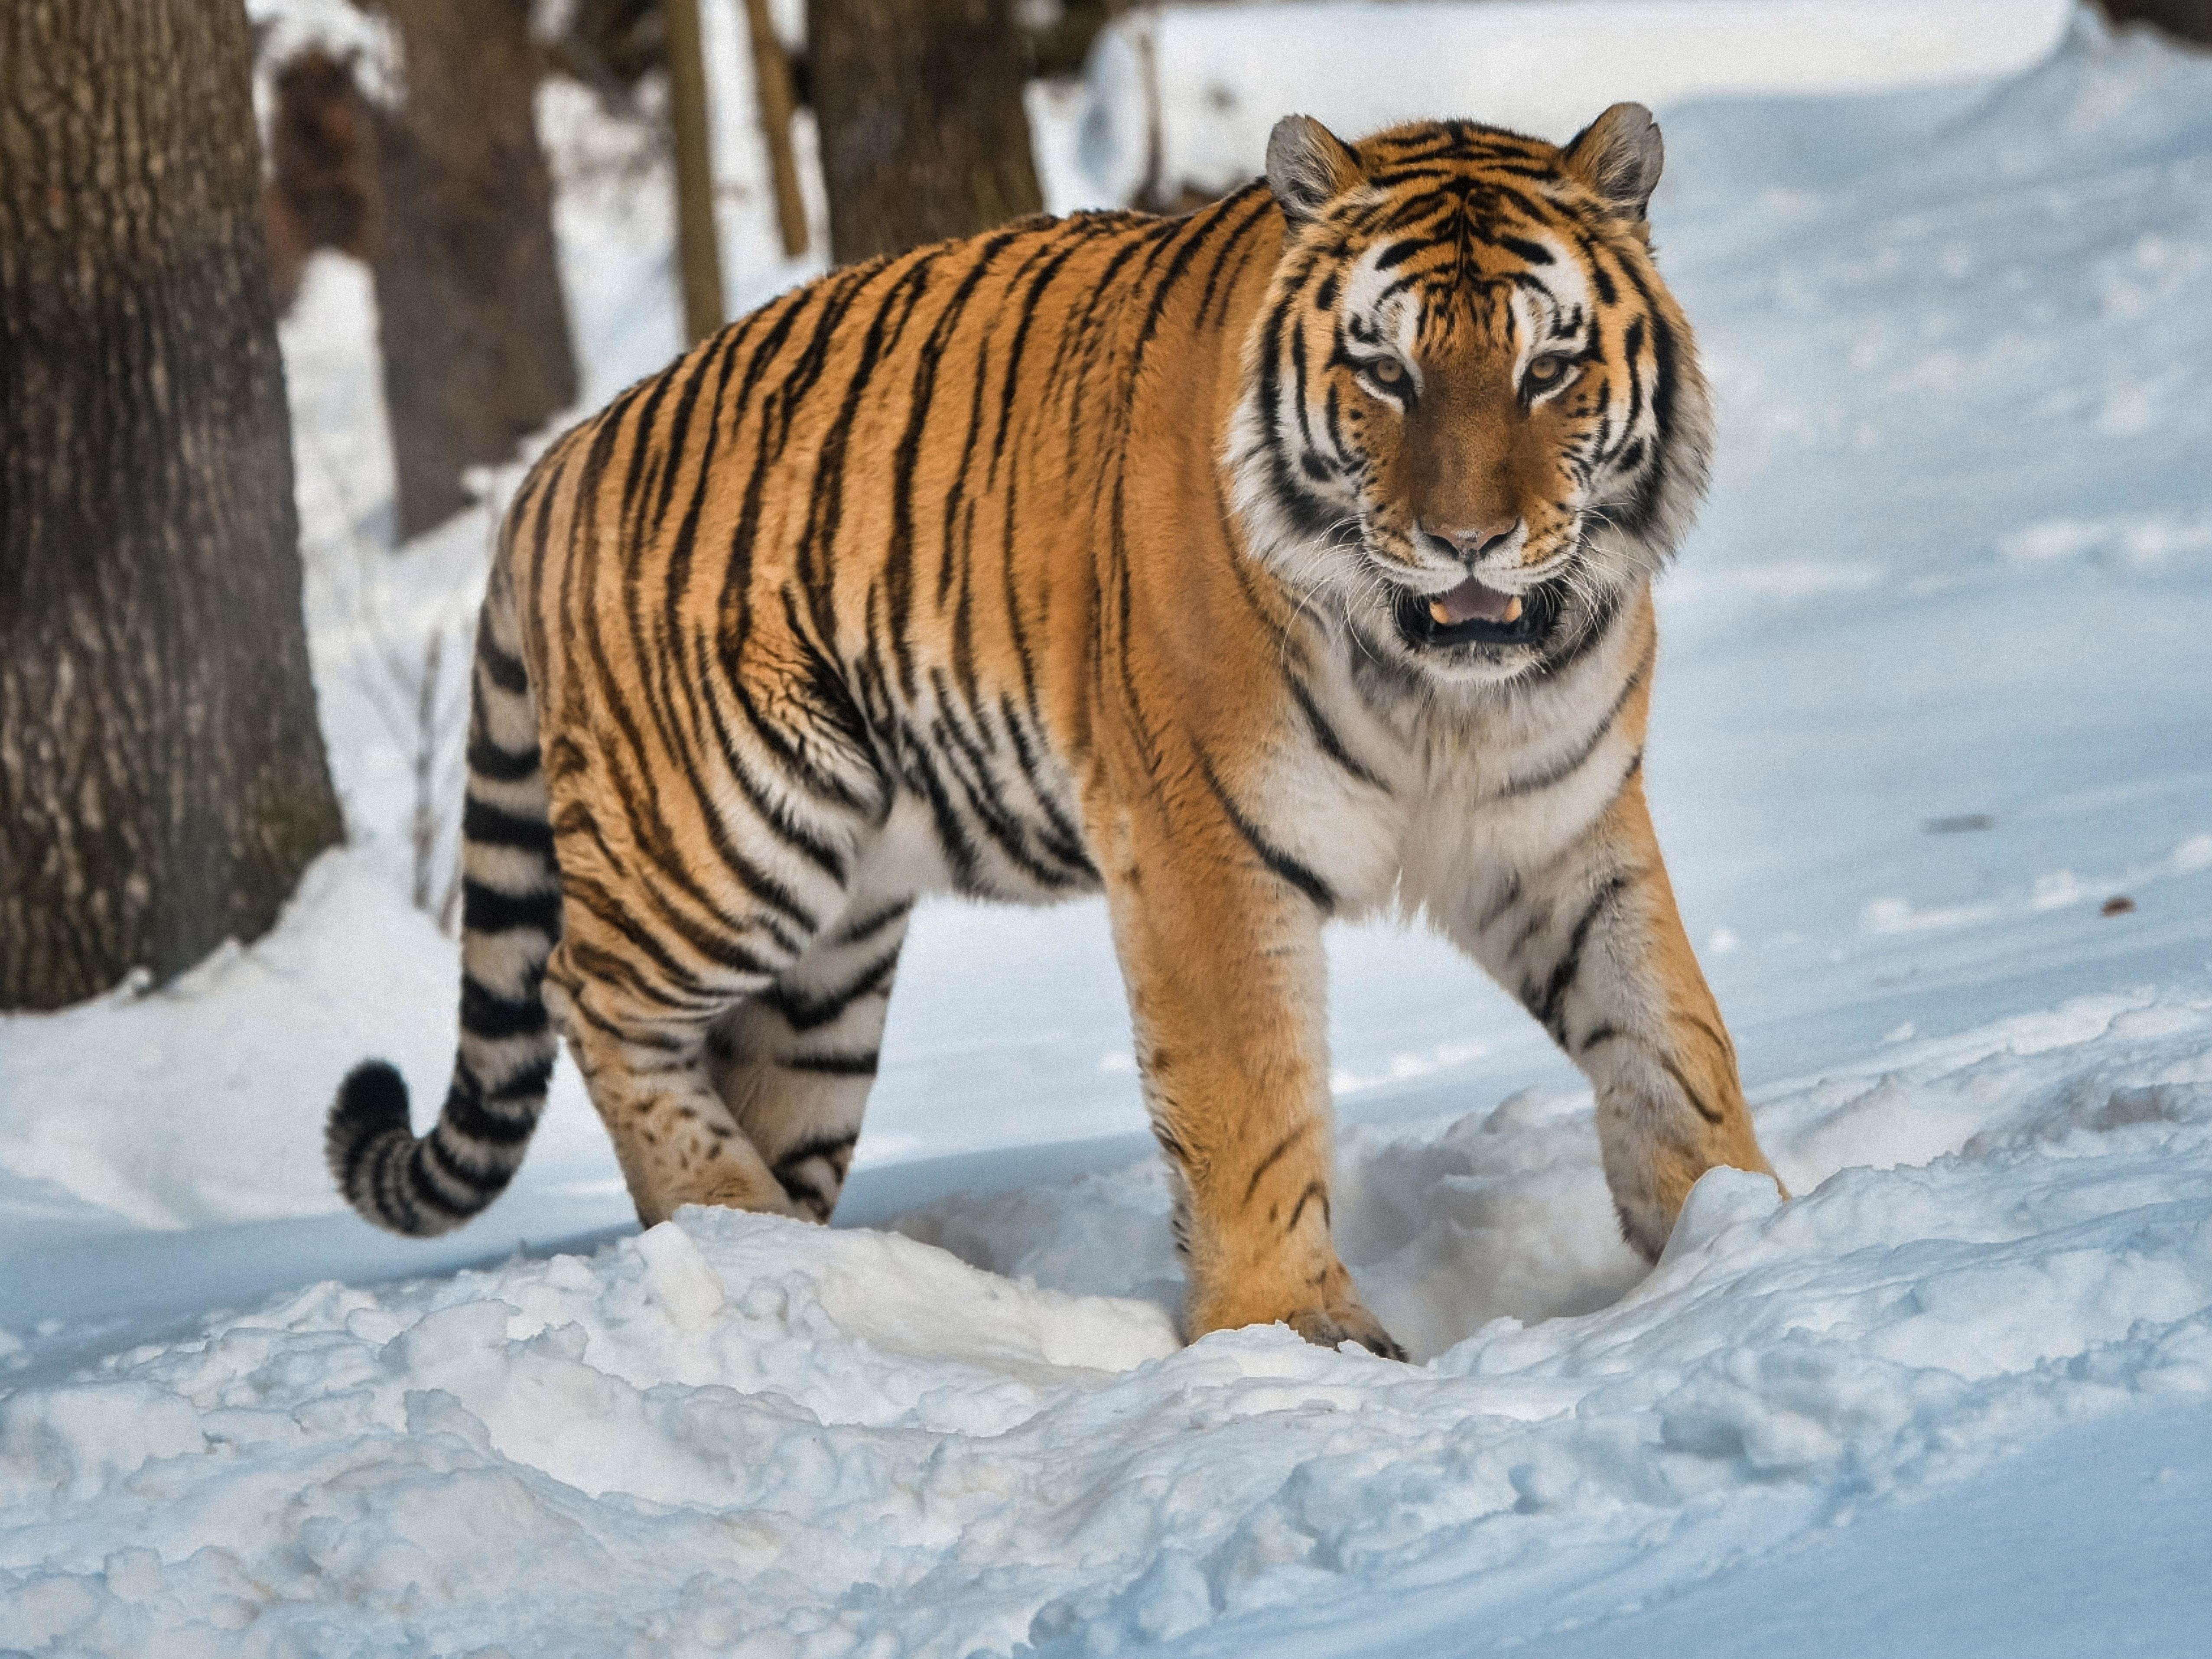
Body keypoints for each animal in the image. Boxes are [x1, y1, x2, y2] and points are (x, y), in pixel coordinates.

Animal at [327, 103, 1780, 1358]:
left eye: (1550, 367)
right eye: (1385, 370)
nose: (1467, 541)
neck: (1448, 694)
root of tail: (560, 457)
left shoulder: (1560, 826)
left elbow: (1671, 1030)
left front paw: (1739, 1230)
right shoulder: (1203, 846)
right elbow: (1251, 1098)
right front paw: (1292, 1331)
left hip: (831, 962)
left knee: (743, 1068)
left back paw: (781, 1261)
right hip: (734, 829)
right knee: (586, 987)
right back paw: (724, 1210)